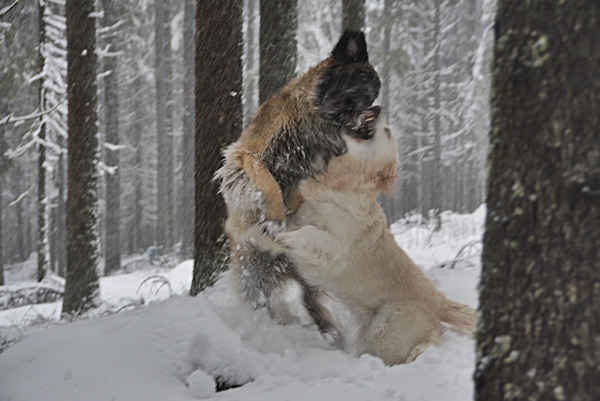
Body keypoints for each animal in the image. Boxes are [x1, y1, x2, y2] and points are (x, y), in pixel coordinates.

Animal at [274, 119, 476, 366]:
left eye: (387, 132)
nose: (377, 117)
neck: (342, 185)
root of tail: (440, 302)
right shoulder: (302, 212)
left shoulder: (336, 243)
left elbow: (311, 233)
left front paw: (287, 238)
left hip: (385, 333)